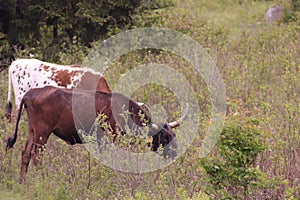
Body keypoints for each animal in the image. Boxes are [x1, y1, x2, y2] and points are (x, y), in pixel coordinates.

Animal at [5, 86, 188, 181]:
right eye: (165, 136)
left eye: (174, 135)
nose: (176, 153)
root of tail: (30, 93)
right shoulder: (108, 139)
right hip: (42, 132)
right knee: (37, 156)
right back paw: (43, 180)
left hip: (32, 130)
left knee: (25, 153)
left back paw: (23, 182)